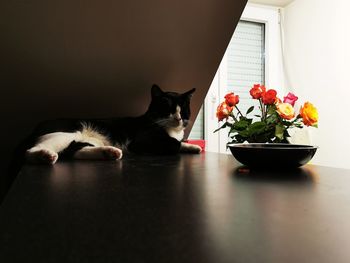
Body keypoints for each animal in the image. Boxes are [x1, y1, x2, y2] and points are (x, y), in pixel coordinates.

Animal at [25, 84, 202, 165]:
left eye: (183, 110)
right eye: (168, 109)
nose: (178, 119)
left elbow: (179, 142)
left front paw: (193, 146)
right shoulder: (142, 141)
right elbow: (173, 143)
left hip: (87, 140)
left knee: (73, 151)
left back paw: (110, 152)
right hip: (66, 133)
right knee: (30, 151)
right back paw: (44, 155)